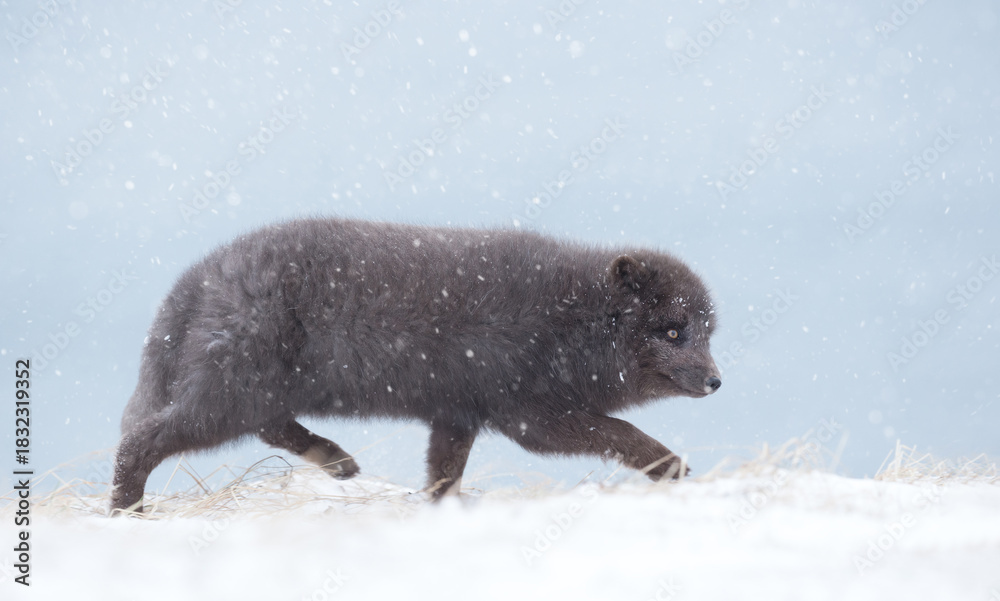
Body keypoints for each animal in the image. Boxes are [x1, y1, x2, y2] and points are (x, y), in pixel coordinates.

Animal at [110, 218, 721, 513]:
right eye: (673, 331)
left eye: (708, 332)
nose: (717, 381)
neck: (571, 322)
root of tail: (198, 276)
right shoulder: (532, 417)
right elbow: (620, 432)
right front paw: (674, 468)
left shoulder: (457, 414)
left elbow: (443, 473)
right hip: (229, 394)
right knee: (139, 441)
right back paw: (126, 514)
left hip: (252, 394)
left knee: (272, 428)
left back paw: (337, 461)